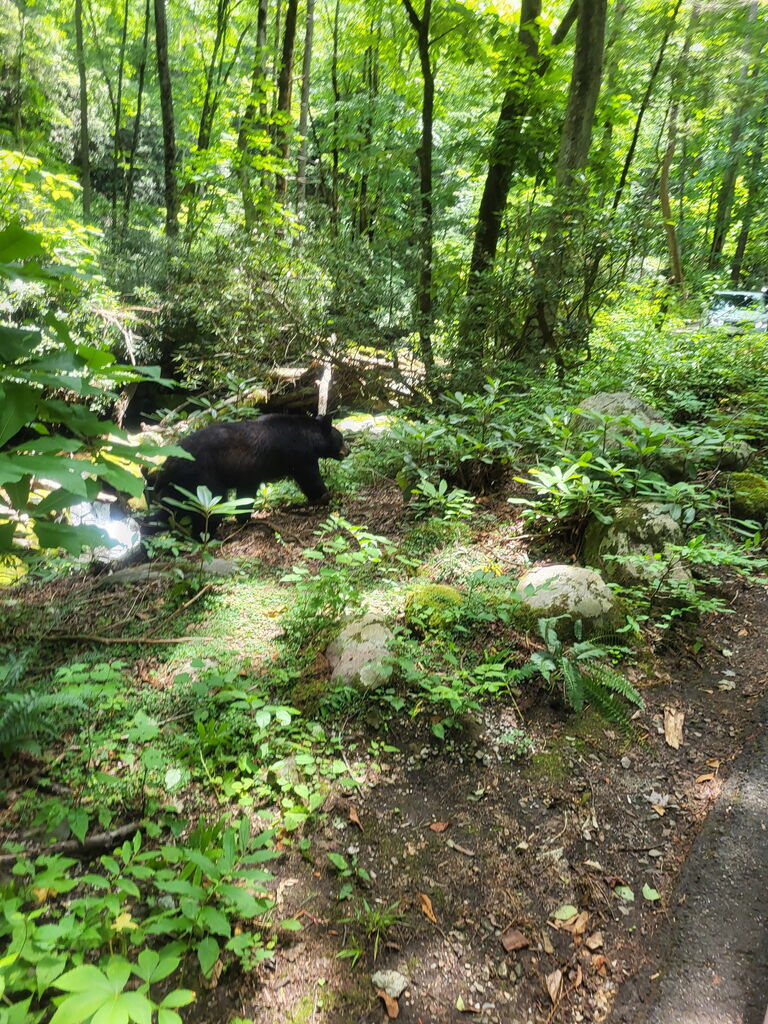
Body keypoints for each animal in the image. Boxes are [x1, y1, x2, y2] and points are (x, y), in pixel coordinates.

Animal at [146, 413, 349, 538]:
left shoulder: (250, 472)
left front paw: (244, 517)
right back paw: (205, 535)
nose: (348, 450)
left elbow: (246, 493)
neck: (308, 437)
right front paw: (328, 495)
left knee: (170, 510)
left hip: (177, 486)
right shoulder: (300, 455)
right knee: (212, 506)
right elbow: (310, 479)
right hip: (202, 478)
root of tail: (166, 466)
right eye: (341, 438)